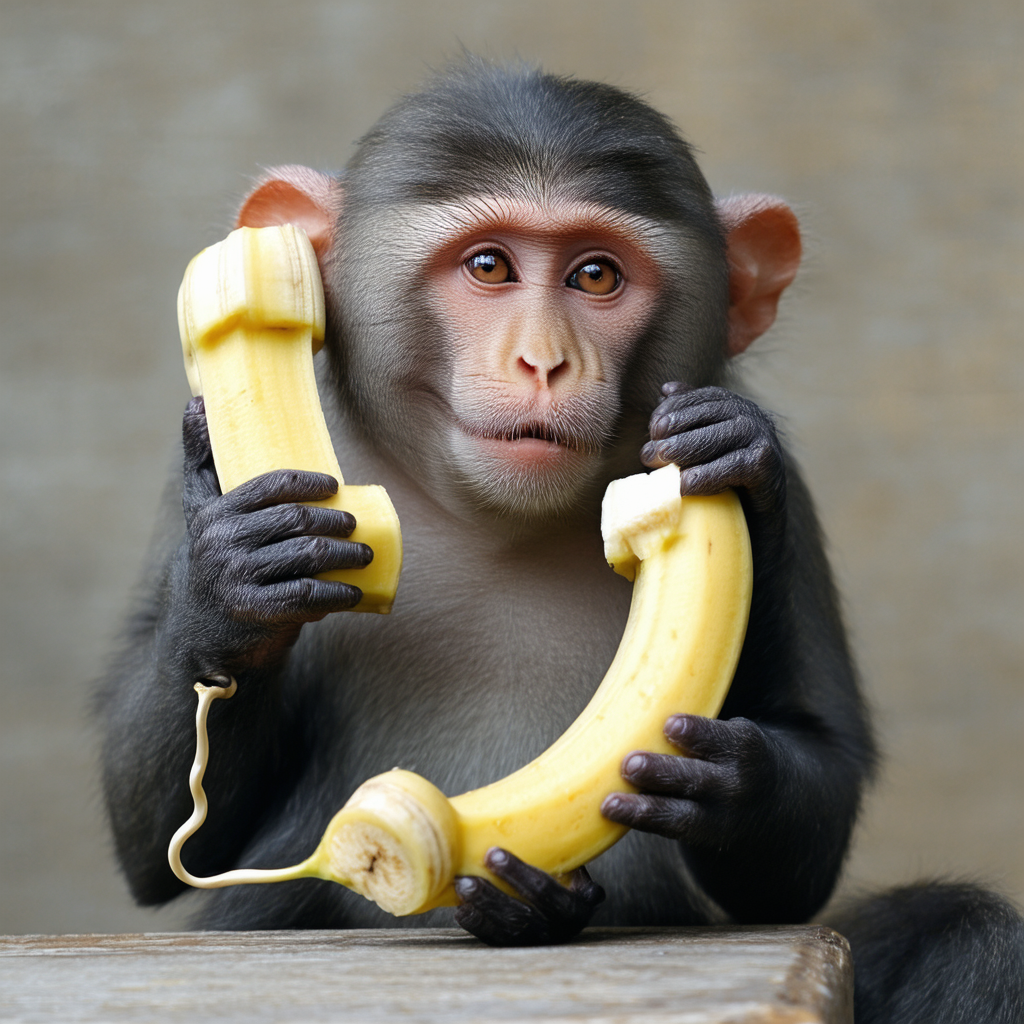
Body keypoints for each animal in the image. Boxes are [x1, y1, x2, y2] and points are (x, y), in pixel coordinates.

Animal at [97, 60, 1024, 1022]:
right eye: (490, 266)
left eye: (596, 276)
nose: (544, 361)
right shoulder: (205, 472)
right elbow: (168, 841)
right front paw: (237, 582)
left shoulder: (794, 491)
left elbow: (808, 810)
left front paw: (724, 779)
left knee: (966, 933)